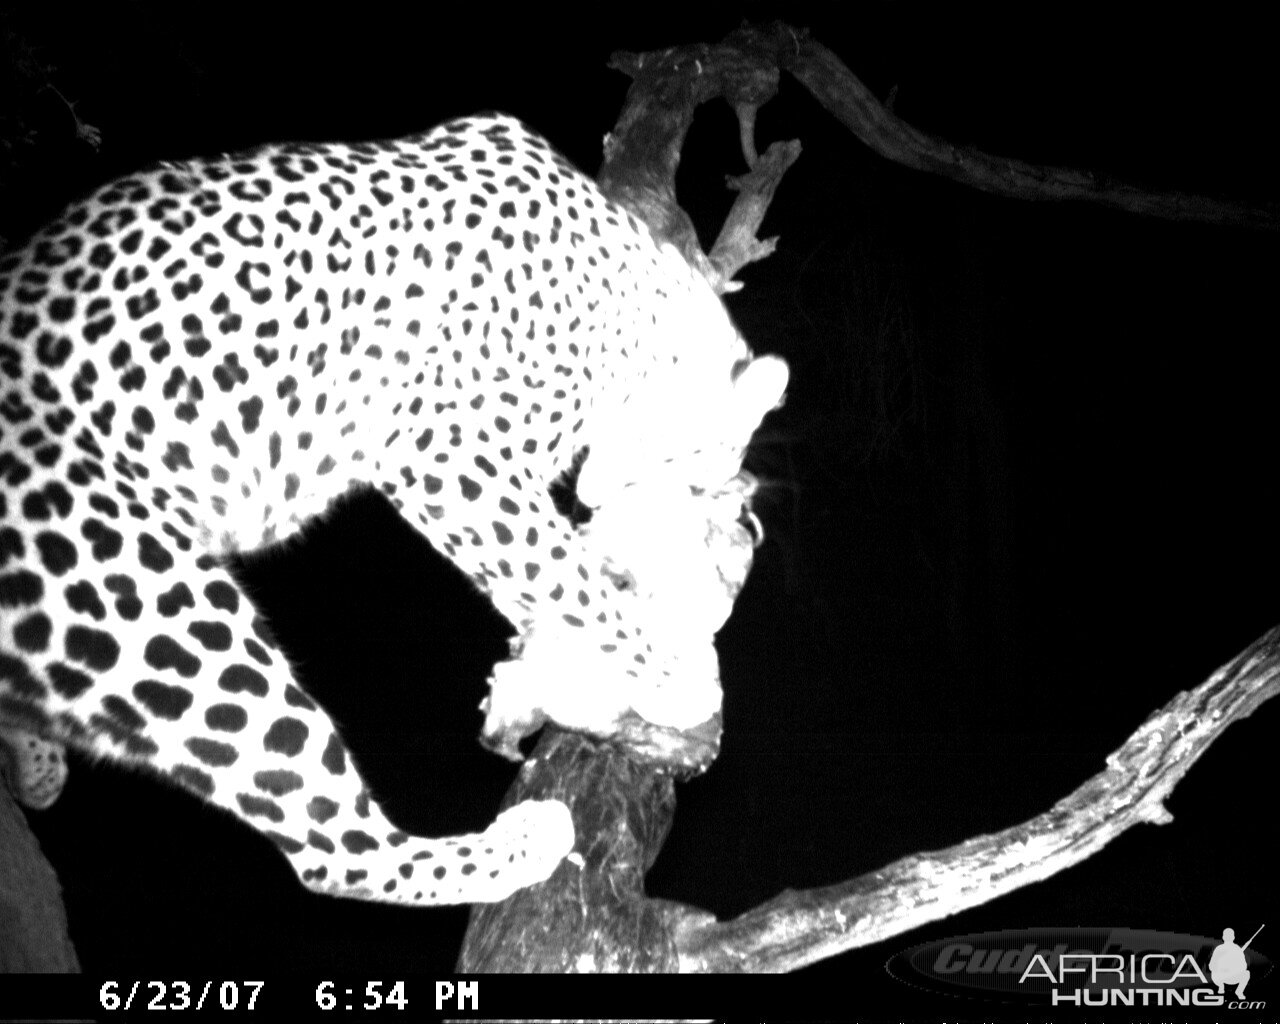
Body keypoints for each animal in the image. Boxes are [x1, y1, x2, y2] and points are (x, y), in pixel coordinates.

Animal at [0, 113, 783, 906]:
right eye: (699, 474)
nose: (738, 501)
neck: (629, 302)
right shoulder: (452, 455)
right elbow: (568, 575)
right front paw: (677, 680)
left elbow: (543, 579)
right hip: (164, 608)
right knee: (332, 848)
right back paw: (524, 843)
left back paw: (34, 765)